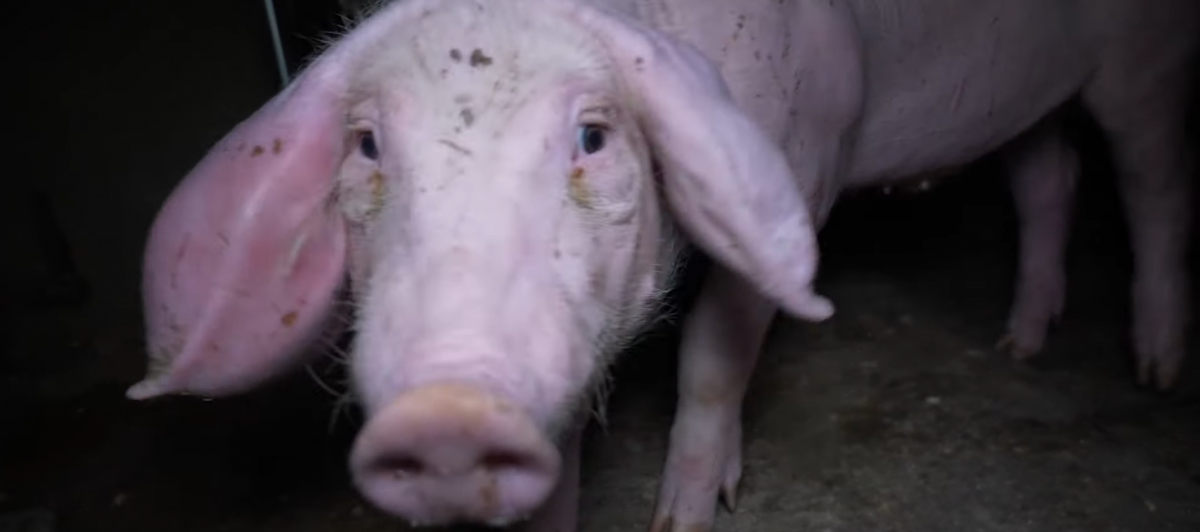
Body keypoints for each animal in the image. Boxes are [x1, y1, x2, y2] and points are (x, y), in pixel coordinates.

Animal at [125, 0, 1198, 530]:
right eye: (366, 147)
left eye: (594, 137)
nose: (447, 410)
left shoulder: (803, 172)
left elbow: (714, 365)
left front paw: (684, 519)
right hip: (1032, 103)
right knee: (1049, 175)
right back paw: (1020, 347)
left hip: (1144, 65)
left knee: (1148, 186)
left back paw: (1155, 369)